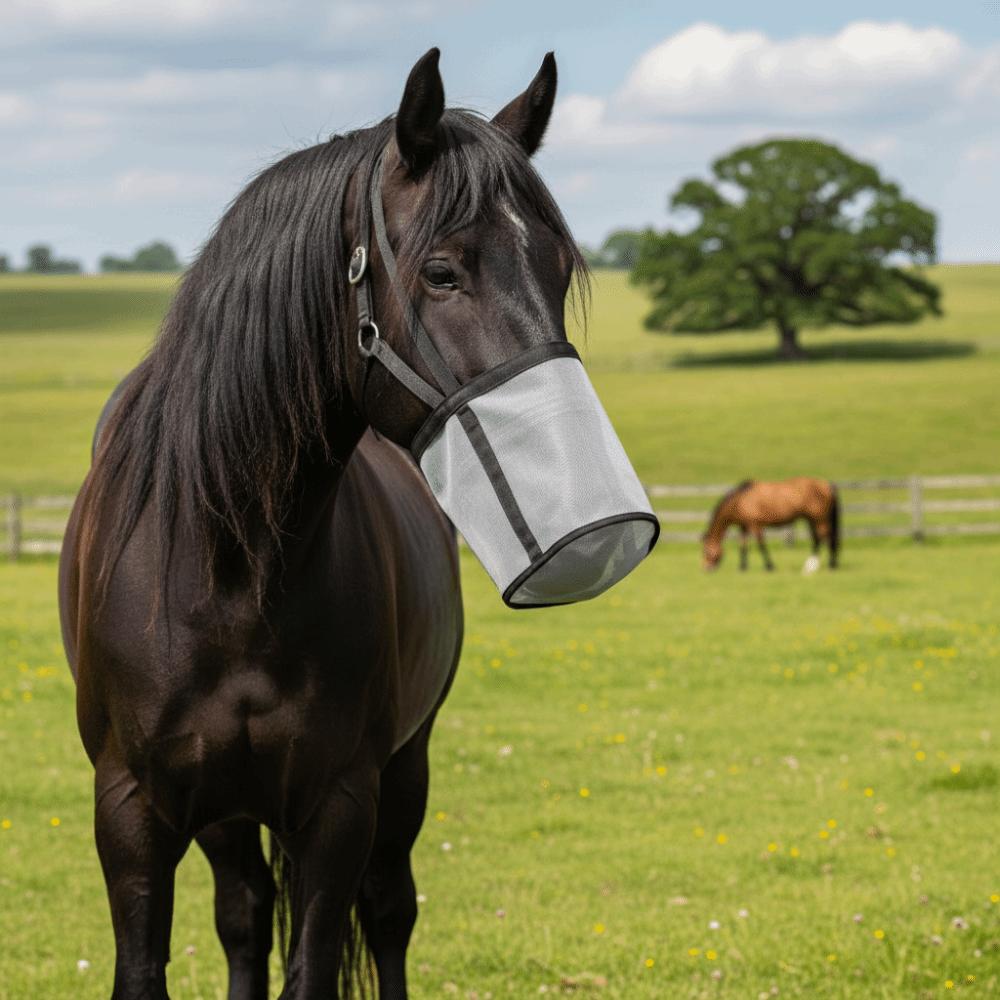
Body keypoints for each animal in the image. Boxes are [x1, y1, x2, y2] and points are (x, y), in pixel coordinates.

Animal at [58, 49, 593, 999]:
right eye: (443, 272)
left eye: (559, 268)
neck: (226, 571)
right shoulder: (131, 808)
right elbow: (156, 963)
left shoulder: (341, 803)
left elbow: (317, 963)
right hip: (226, 810)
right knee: (241, 916)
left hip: (404, 770)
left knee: (387, 914)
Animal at [701, 477, 840, 571]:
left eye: (706, 551)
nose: (706, 568)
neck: (741, 500)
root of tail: (827, 486)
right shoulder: (744, 527)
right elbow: (743, 545)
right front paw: (742, 567)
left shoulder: (755, 525)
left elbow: (761, 544)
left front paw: (769, 566)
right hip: (811, 519)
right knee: (819, 538)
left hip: (819, 519)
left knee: (825, 537)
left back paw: (815, 565)